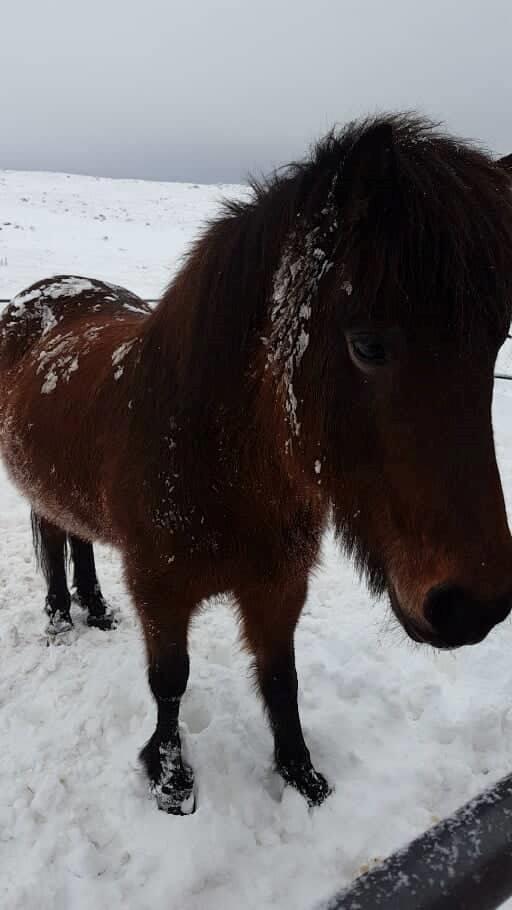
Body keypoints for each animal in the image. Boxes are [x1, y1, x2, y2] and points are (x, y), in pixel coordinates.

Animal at [3, 114, 512, 820]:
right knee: (54, 542)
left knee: (79, 539)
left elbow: (280, 677)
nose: (473, 607)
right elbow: (170, 681)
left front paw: (301, 774)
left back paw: (97, 610)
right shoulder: (159, 590)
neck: (214, 463)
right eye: (368, 345)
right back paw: (59, 620)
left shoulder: (279, 585)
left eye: (497, 343)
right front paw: (170, 778)